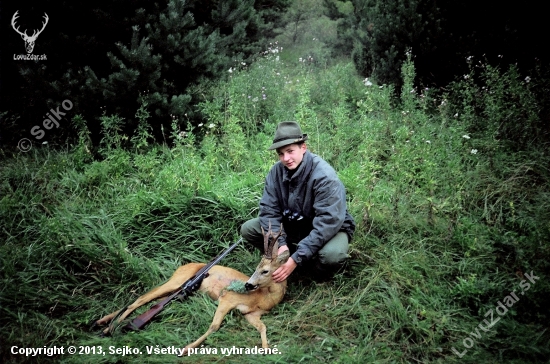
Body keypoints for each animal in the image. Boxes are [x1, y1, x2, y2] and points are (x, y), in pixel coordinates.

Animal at [93, 225, 288, 352]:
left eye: (265, 270)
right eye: (257, 267)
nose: (247, 284)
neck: (262, 299)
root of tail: (183, 266)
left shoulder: (251, 314)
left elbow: (263, 327)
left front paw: (266, 348)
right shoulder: (227, 298)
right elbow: (214, 326)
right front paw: (186, 348)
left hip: (174, 289)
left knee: (149, 300)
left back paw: (103, 322)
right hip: (176, 281)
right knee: (141, 299)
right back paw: (109, 329)